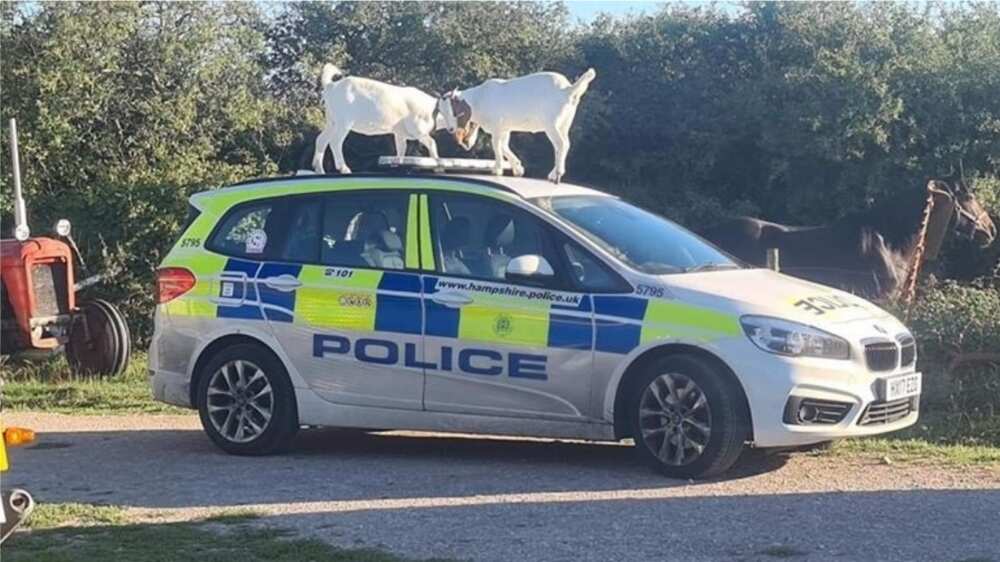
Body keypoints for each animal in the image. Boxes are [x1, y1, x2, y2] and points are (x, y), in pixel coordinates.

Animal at [310, 64, 440, 173]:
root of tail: (330, 86)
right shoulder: (418, 129)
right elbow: (431, 142)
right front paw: (438, 165)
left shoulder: (400, 134)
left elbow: (401, 149)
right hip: (344, 121)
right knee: (335, 141)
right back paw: (344, 168)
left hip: (332, 121)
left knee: (321, 140)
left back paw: (319, 169)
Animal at [436, 67, 592, 182]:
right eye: (442, 112)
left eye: (452, 111)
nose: (451, 129)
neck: (478, 100)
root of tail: (567, 89)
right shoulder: (505, 128)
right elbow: (504, 146)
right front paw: (518, 169)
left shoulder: (497, 126)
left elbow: (496, 146)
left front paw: (497, 169)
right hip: (565, 123)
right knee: (564, 144)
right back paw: (554, 173)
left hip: (551, 123)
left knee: (561, 144)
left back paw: (557, 174)